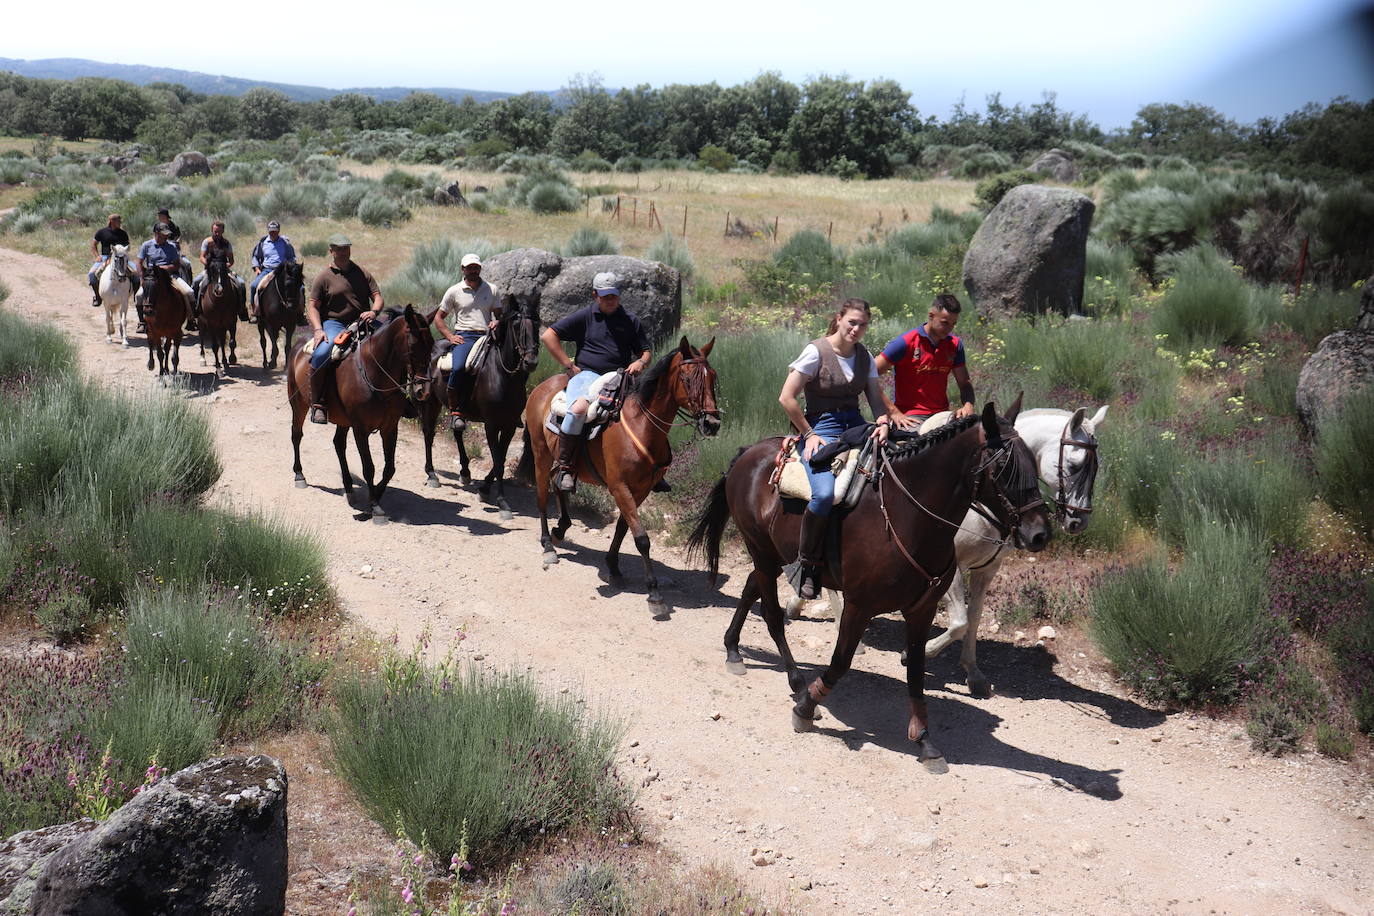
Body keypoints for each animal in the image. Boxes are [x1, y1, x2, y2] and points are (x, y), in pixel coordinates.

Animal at [287, 306, 436, 521]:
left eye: (432, 343)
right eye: (413, 344)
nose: (422, 390)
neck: (374, 372)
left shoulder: (390, 428)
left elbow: (389, 468)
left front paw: (375, 498)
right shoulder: (360, 428)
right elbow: (369, 467)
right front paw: (375, 507)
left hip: (342, 419)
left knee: (338, 444)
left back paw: (349, 488)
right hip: (298, 404)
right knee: (297, 435)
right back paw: (299, 475)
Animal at [417, 298, 541, 519]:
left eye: (538, 324)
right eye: (517, 325)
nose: (531, 361)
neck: (503, 375)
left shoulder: (509, 426)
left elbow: (500, 458)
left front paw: (484, 488)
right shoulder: (491, 425)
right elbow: (498, 461)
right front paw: (502, 502)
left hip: (456, 409)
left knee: (457, 430)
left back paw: (465, 472)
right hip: (431, 402)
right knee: (429, 433)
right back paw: (431, 474)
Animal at [519, 336, 725, 615]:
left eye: (712, 377)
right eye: (687, 378)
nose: (711, 424)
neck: (643, 426)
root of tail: (542, 387)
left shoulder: (640, 490)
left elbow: (622, 528)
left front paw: (613, 566)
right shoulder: (620, 487)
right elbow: (642, 538)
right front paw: (654, 594)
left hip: (561, 462)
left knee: (559, 482)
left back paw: (561, 529)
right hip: (540, 453)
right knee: (542, 496)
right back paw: (548, 545)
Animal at [687, 401, 1049, 769]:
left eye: (1033, 464)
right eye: (1004, 467)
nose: (1039, 533)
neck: (907, 517)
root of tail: (749, 453)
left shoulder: (922, 609)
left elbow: (916, 670)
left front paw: (924, 739)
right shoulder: (860, 606)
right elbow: (840, 663)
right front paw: (805, 708)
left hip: (772, 556)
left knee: (750, 587)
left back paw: (733, 650)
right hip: (761, 550)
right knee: (772, 616)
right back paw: (797, 682)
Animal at [785, 403, 1104, 697]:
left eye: (1097, 467)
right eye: (1074, 465)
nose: (1078, 521)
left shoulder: (988, 570)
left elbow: (973, 618)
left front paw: (973, 673)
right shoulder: (952, 569)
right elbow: (959, 622)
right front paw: (918, 653)